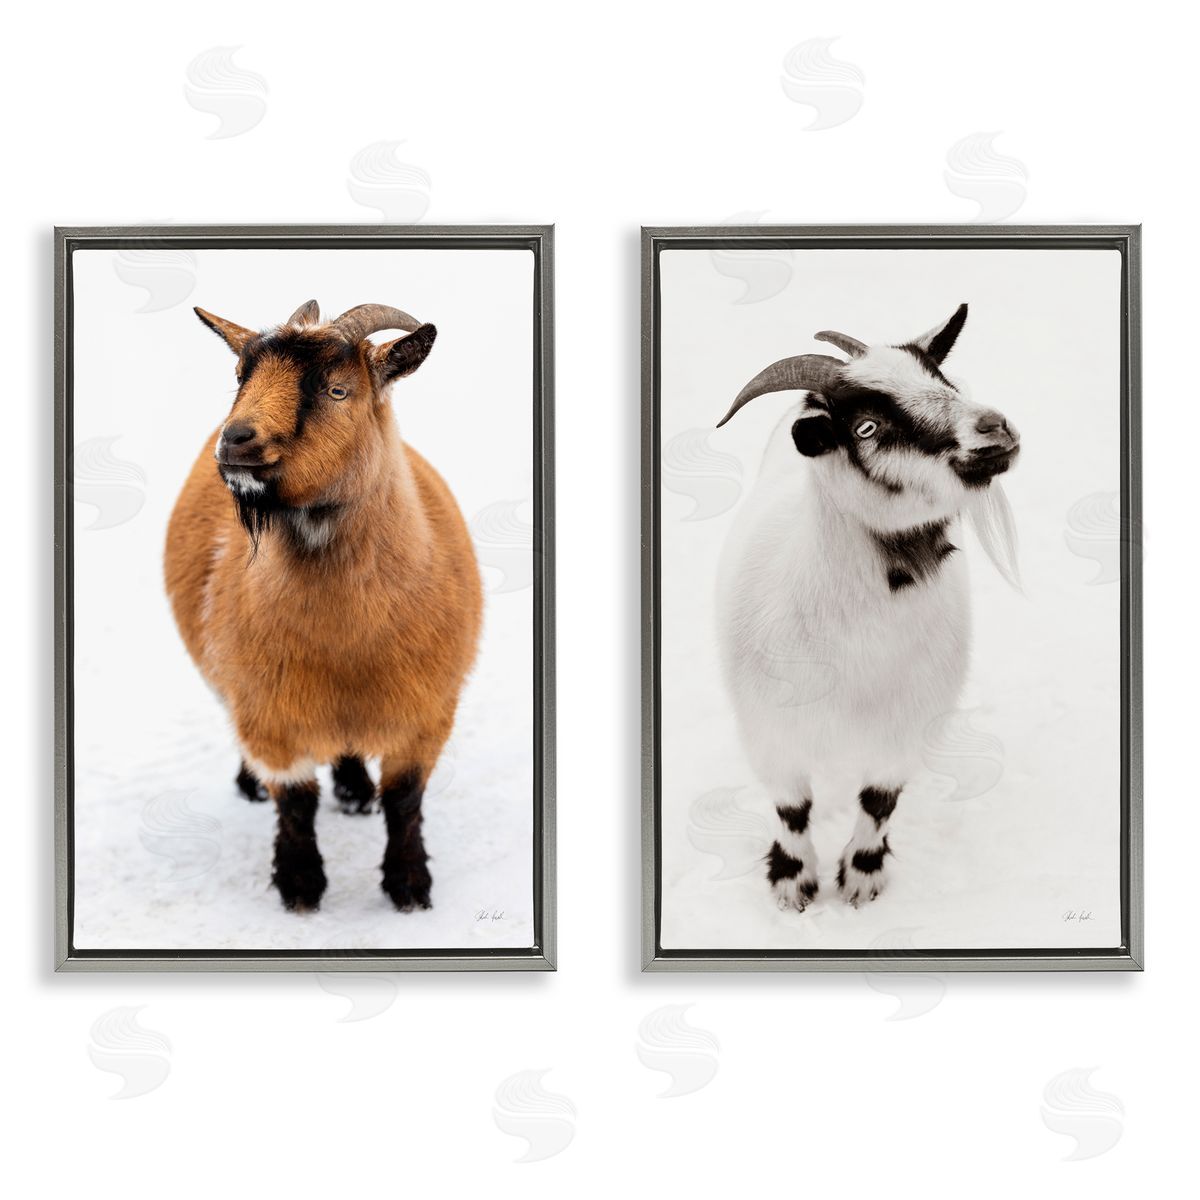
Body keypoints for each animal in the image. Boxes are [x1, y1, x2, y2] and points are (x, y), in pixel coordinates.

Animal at [164, 299, 482, 912]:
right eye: (240, 376)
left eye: (337, 390)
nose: (235, 440)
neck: (346, 643)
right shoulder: (269, 713)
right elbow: (296, 802)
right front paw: (300, 886)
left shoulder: (428, 712)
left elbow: (405, 800)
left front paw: (410, 888)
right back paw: (253, 786)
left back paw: (356, 789)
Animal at [714, 305, 1019, 910]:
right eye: (867, 427)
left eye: (943, 382)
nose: (994, 428)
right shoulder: (768, 731)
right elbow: (792, 808)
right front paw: (793, 884)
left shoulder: (906, 728)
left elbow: (879, 802)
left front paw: (860, 878)